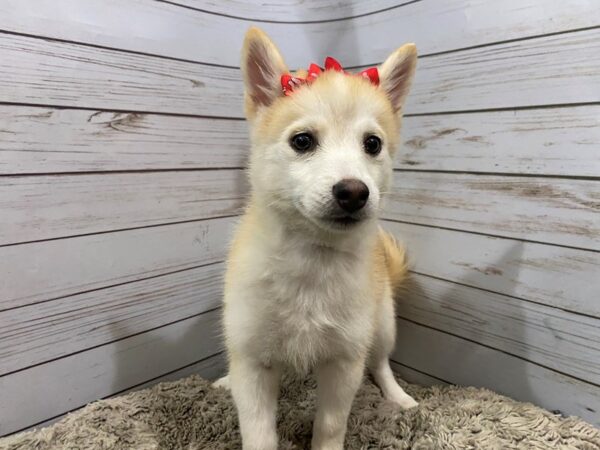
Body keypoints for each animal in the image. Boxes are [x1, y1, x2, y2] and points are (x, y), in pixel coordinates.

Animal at [214, 28, 418, 450]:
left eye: (372, 144)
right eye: (303, 141)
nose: (354, 192)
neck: (311, 259)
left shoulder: (343, 362)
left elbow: (329, 424)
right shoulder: (253, 360)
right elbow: (258, 431)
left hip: (382, 324)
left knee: (381, 363)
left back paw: (398, 396)